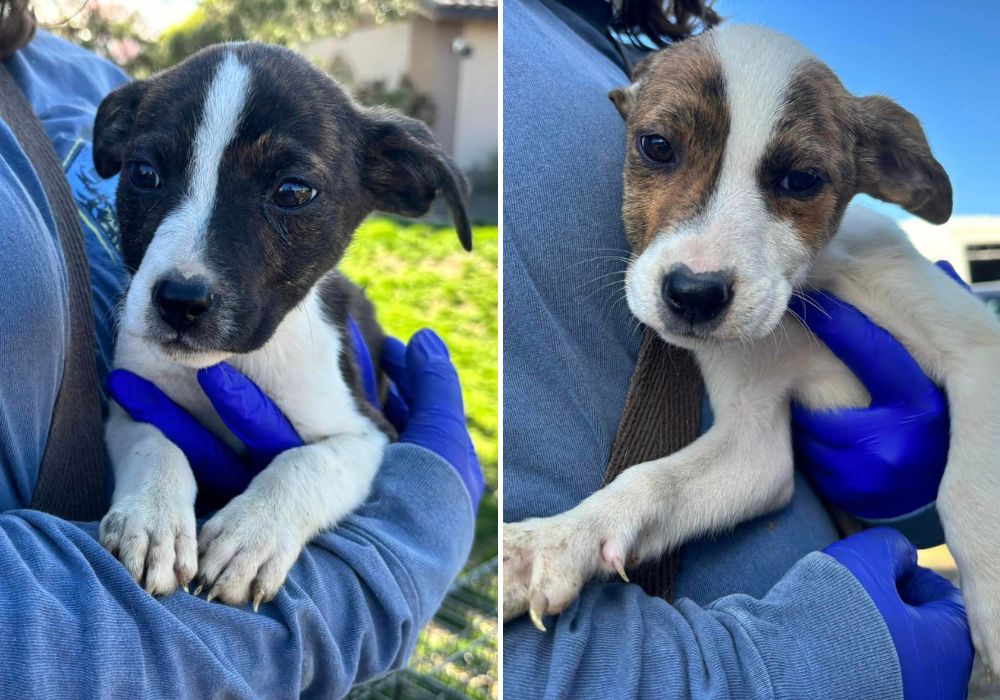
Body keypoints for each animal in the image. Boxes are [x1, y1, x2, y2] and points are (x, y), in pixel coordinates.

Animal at [92, 42, 470, 608]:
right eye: (143, 174)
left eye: (292, 192)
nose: (180, 301)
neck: (234, 365)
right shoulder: (133, 399)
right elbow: (156, 443)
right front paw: (152, 520)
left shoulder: (365, 431)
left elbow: (302, 465)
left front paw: (251, 534)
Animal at [504, 24, 1000, 668]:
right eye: (656, 146)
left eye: (802, 179)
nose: (693, 295)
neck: (805, 293)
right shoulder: (754, 440)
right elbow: (649, 480)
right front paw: (554, 541)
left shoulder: (978, 348)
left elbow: (968, 487)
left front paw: (995, 604)